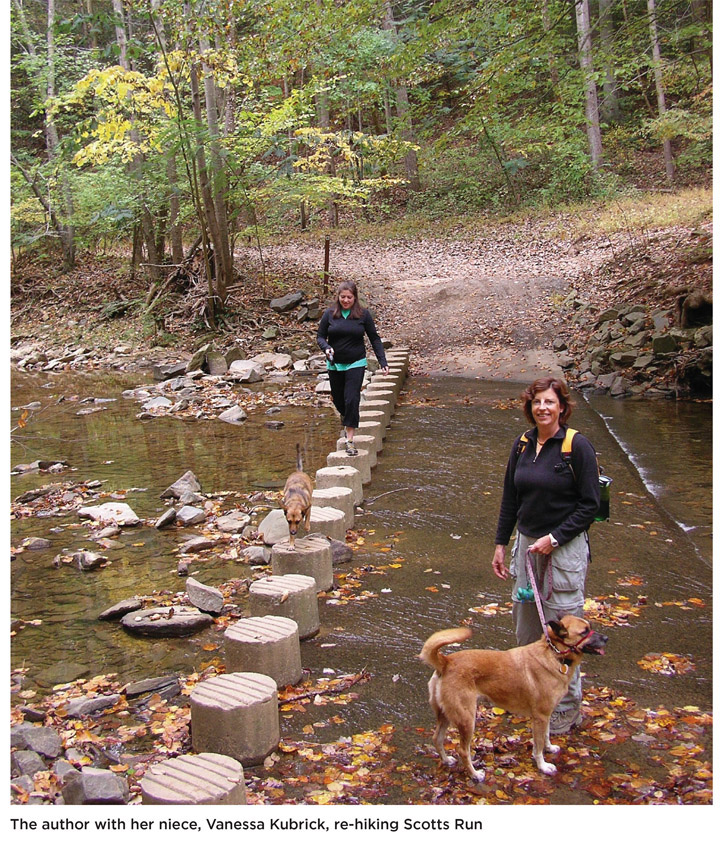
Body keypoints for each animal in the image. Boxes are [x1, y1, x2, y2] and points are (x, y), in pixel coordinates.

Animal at [416, 612, 608, 784]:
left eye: (589, 627)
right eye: (584, 632)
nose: (606, 638)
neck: (554, 653)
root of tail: (446, 662)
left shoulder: (545, 716)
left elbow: (546, 735)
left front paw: (550, 748)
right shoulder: (540, 716)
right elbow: (538, 745)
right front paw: (543, 766)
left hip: (446, 715)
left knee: (437, 738)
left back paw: (446, 760)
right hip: (467, 719)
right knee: (463, 750)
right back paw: (475, 774)